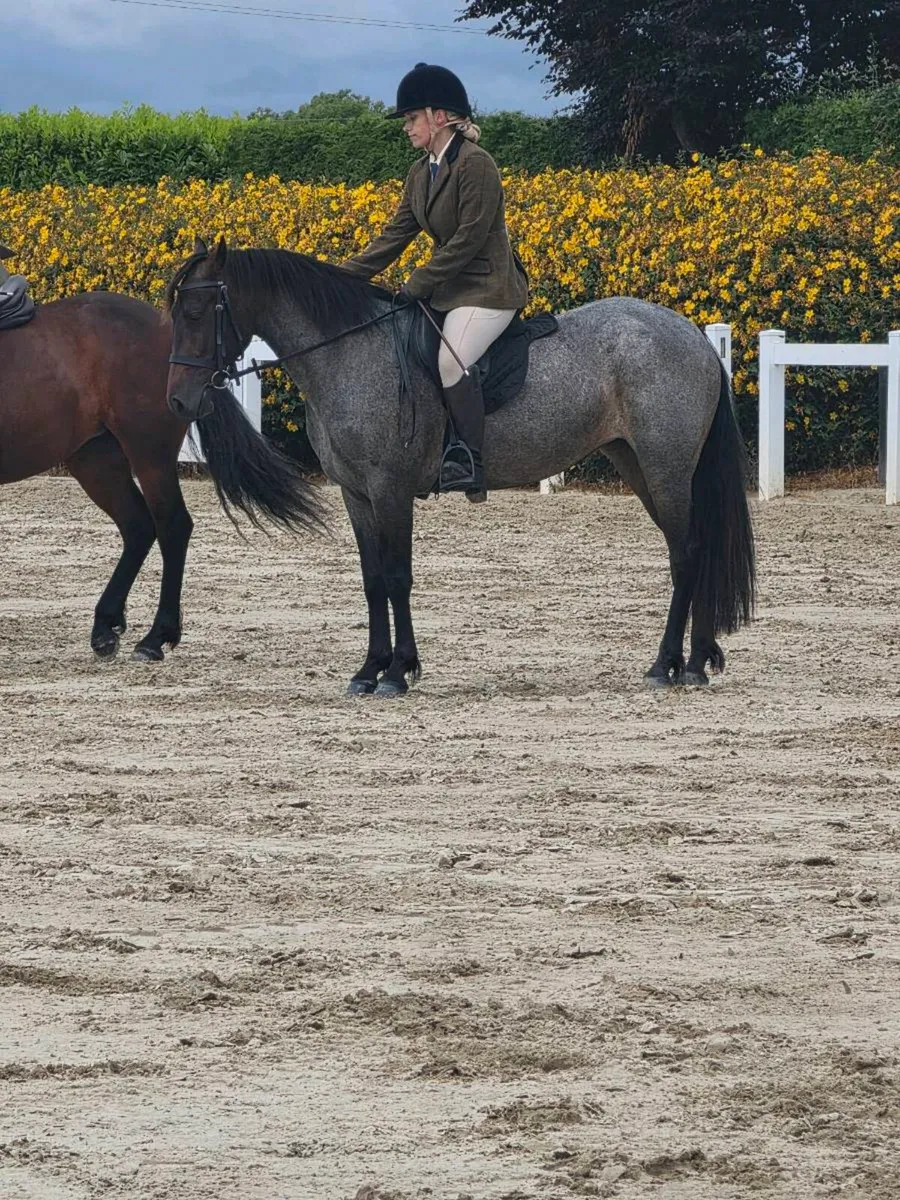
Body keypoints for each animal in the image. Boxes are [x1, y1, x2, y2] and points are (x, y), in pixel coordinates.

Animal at [0, 288, 324, 660]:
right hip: (95, 459)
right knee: (138, 525)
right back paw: (105, 627)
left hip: (147, 454)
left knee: (172, 525)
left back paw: (155, 636)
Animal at [166, 237, 755, 696]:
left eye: (195, 314)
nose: (178, 401)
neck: (350, 353)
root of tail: (692, 335)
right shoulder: (357, 494)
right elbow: (372, 579)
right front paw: (369, 669)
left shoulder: (390, 489)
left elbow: (397, 576)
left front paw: (398, 672)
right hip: (638, 466)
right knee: (696, 548)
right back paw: (698, 661)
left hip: (666, 470)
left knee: (686, 553)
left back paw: (666, 664)